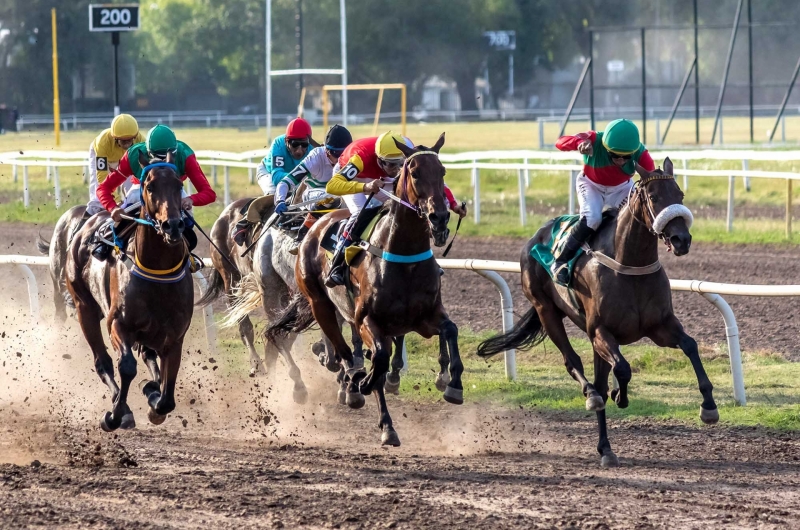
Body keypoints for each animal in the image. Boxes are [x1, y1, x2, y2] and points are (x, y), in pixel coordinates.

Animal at [66, 152, 194, 428]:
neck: (158, 271)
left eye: (179, 184)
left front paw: (155, 401)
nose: (173, 226)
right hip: (84, 307)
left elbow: (167, 394)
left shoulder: (175, 336)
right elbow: (126, 366)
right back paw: (120, 405)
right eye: (150, 186)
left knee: (147, 356)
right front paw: (116, 413)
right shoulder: (118, 323)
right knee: (102, 361)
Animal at [268, 133, 462, 446]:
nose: (439, 218)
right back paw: (355, 387)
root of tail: (315, 224)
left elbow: (451, 330)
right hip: (320, 304)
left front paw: (453, 383)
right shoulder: (366, 320)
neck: (404, 257)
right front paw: (366, 388)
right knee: (343, 350)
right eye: (415, 173)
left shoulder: (424, 317)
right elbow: (377, 361)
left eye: (442, 172)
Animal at [476, 159, 712, 464]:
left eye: (680, 195)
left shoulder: (660, 326)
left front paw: (709, 406)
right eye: (654, 197)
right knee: (574, 363)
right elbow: (623, 369)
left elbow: (690, 345)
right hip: (547, 310)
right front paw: (619, 395)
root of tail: (536, 236)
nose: (681, 239)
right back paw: (592, 397)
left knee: (599, 377)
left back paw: (605, 447)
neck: (629, 265)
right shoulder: (601, 331)